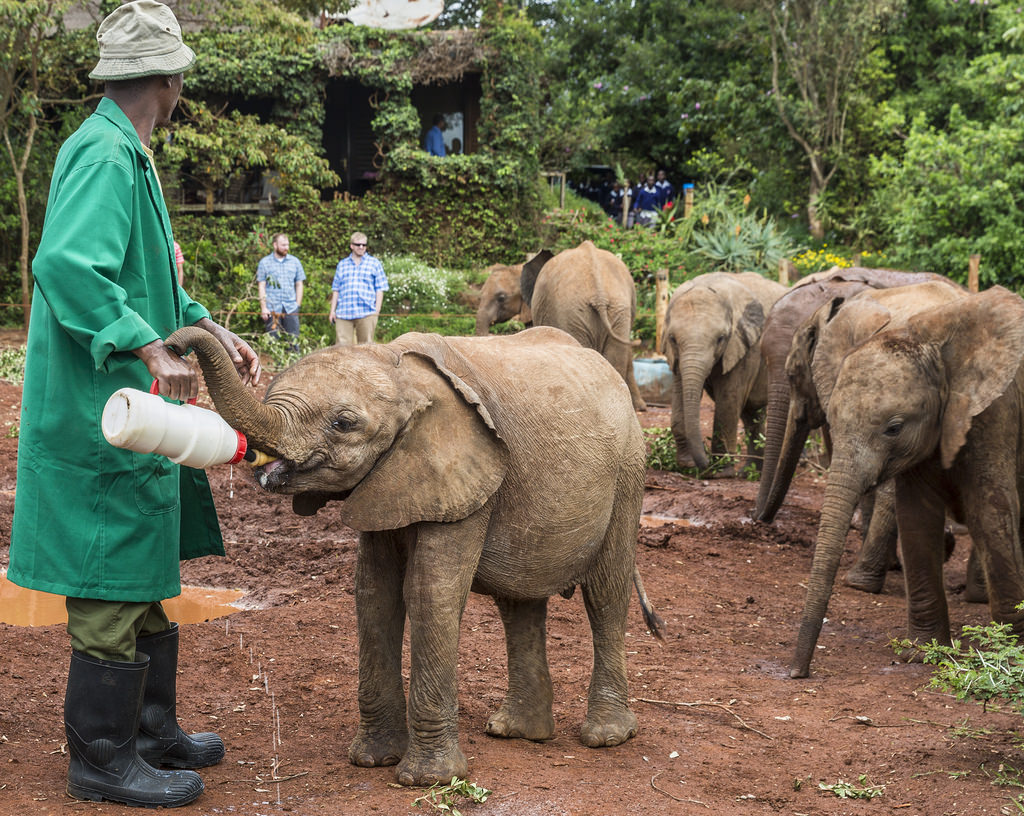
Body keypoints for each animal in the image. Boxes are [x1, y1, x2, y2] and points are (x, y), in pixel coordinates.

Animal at [159, 323, 655, 782]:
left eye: (344, 423)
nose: (173, 345)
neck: (400, 369)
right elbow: (374, 595)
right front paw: (372, 761)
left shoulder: (465, 476)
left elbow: (429, 594)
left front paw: (428, 778)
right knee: (519, 604)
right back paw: (517, 732)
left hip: (629, 469)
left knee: (606, 593)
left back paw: (605, 736)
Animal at [659, 272, 786, 475]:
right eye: (672, 339)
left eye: (721, 338)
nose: (703, 464)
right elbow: (680, 395)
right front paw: (687, 465)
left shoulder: (747, 347)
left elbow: (728, 401)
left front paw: (720, 472)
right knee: (753, 413)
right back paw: (750, 472)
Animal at [790, 282, 1024, 679]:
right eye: (832, 422)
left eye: (894, 428)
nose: (796, 672)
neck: (930, 343)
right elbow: (916, 516)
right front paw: (922, 653)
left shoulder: (995, 411)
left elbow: (991, 512)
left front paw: (1011, 653)